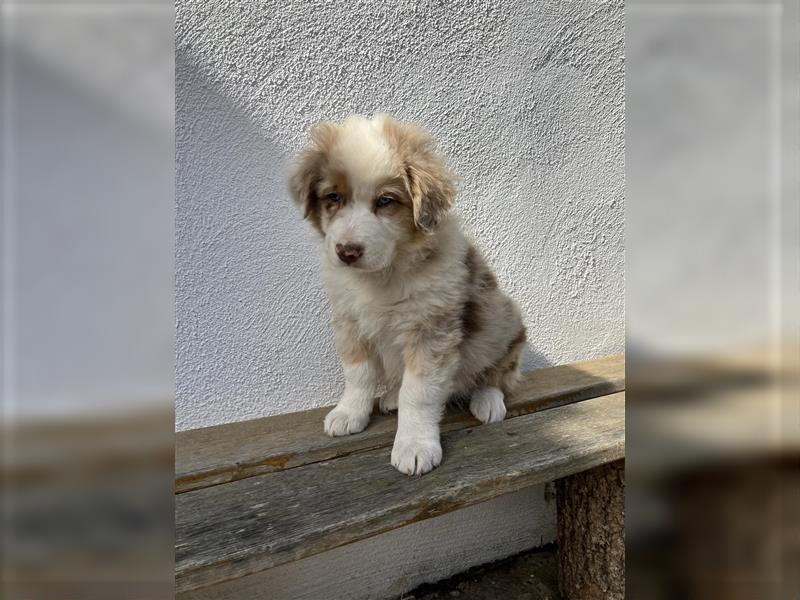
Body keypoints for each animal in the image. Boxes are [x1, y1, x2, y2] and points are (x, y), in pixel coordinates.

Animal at [290, 115, 528, 476]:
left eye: (385, 201)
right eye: (333, 197)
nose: (347, 252)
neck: (383, 275)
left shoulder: (431, 329)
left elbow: (419, 393)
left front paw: (415, 446)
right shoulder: (349, 321)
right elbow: (358, 373)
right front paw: (349, 413)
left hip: (503, 320)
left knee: (498, 372)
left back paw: (487, 400)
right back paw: (390, 397)